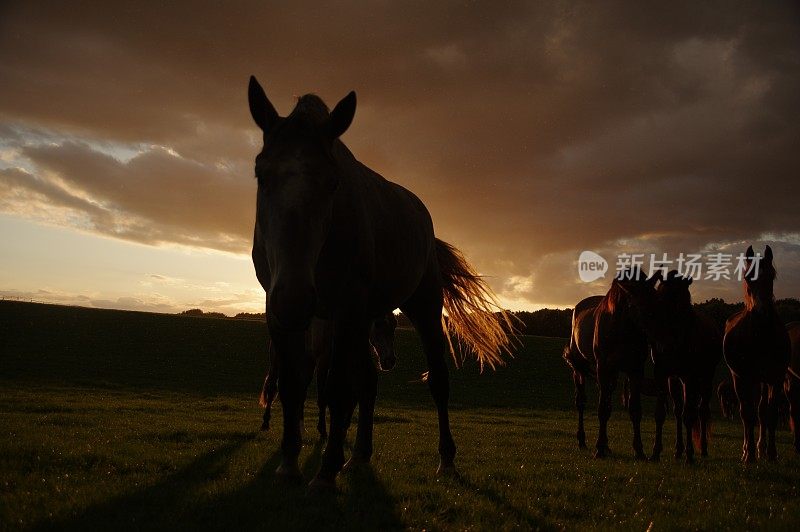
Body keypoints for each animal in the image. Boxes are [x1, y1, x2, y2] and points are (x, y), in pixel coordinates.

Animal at [260, 312, 396, 440]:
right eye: (378, 324)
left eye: (394, 324)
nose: (390, 361)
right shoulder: (323, 362)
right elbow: (323, 398)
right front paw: (323, 431)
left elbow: (352, 398)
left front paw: (343, 430)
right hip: (278, 357)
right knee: (272, 387)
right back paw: (265, 423)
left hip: (308, 362)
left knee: (302, 391)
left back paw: (302, 428)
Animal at [564, 268, 664, 460]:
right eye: (638, 304)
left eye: (656, 299)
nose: (659, 335)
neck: (621, 329)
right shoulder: (603, 369)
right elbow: (602, 409)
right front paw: (599, 449)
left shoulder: (635, 370)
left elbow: (634, 409)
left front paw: (639, 450)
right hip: (579, 370)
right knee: (581, 402)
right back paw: (582, 441)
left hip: (613, 375)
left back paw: (607, 445)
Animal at [648, 270, 720, 462]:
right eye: (660, 299)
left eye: (682, 301)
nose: (664, 344)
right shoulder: (662, 375)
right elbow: (661, 413)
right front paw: (656, 452)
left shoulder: (690, 377)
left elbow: (689, 415)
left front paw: (690, 454)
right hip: (675, 380)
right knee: (678, 410)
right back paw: (678, 449)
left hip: (706, 378)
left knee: (701, 410)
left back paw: (702, 449)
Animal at [720, 245, 792, 462]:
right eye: (747, 277)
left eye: (771, 276)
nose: (761, 313)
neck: (760, 338)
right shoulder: (743, 377)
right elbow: (747, 414)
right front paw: (749, 454)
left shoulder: (776, 378)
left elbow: (770, 414)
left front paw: (771, 453)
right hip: (743, 380)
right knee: (747, 413)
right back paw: (748, 449)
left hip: (761, 381)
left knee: (761, 411)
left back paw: (762, 447)